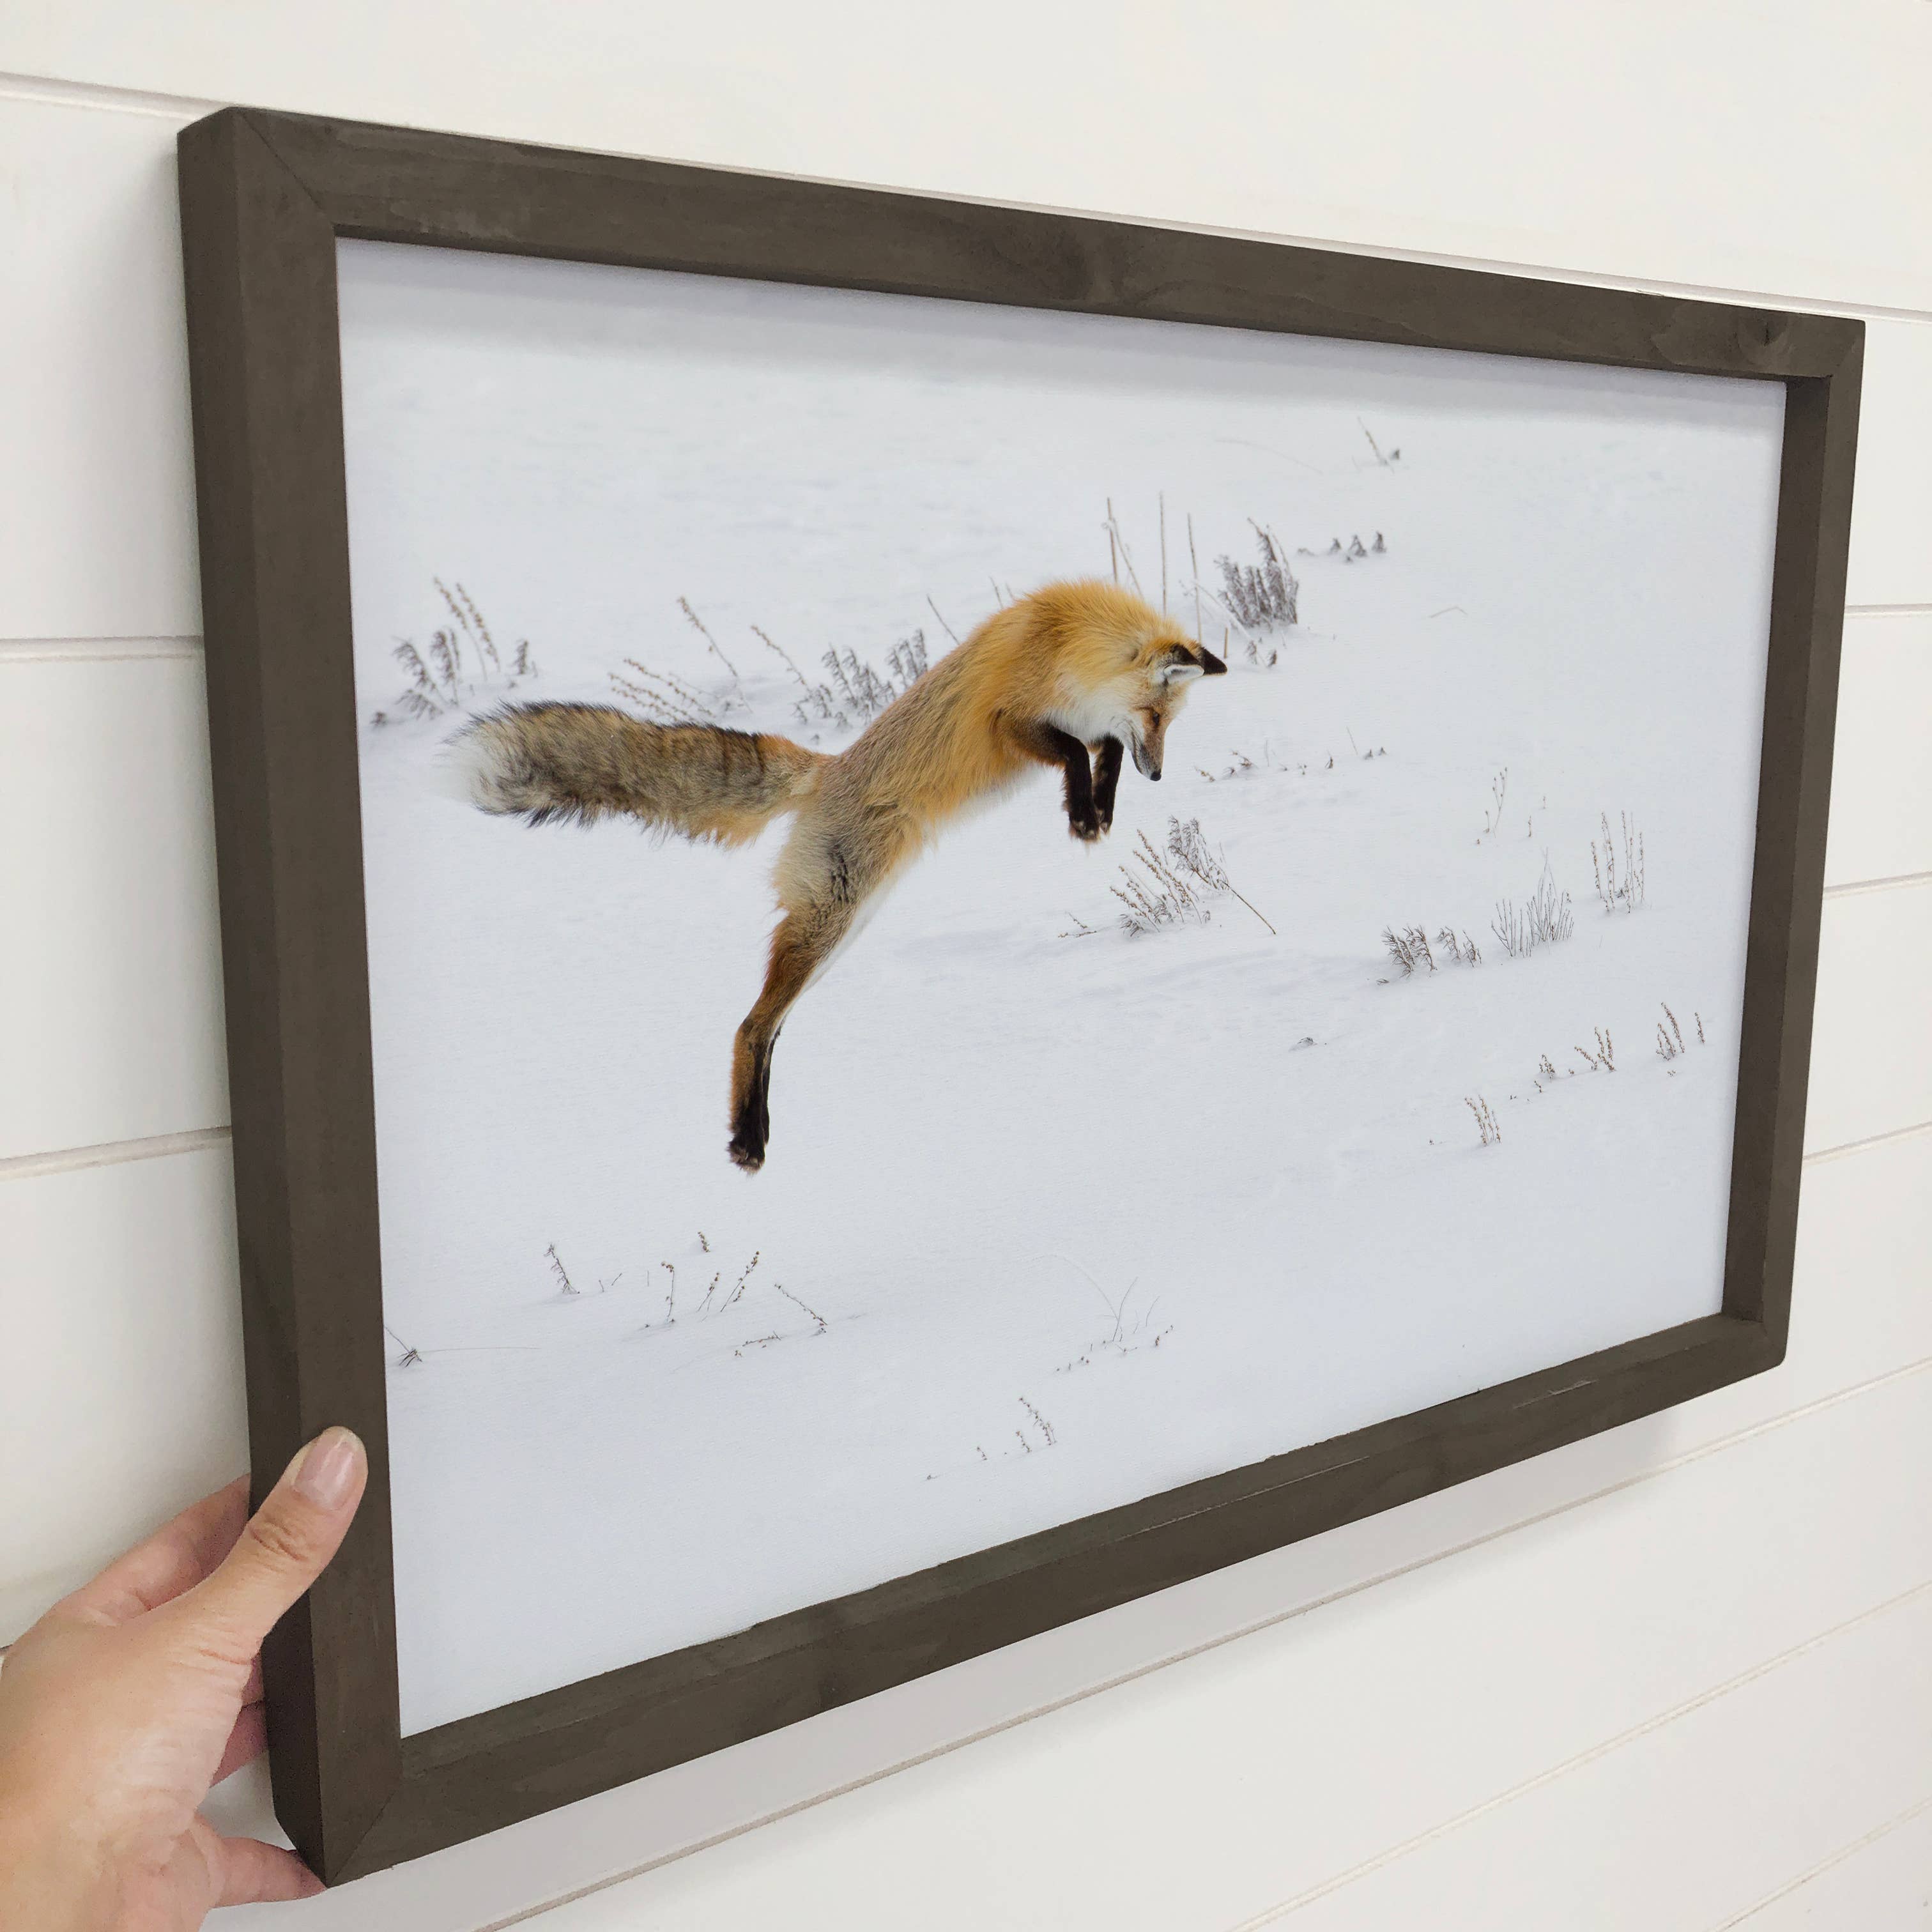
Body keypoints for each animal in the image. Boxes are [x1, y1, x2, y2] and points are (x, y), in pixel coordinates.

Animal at [450, 578, 1226, 1170]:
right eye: (1158, 714)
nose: (1162, 775)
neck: (1067, 639)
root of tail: (824, 771)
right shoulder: (1009, 720)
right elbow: (1069, 748)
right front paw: (1085, 814)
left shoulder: (1090, 725)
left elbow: (1101, 753)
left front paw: (1099, 810)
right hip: (831, 918)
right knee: (750, 1026)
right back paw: (747, 1139)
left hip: (842, 930)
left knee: (770, 1027)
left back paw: (755, 1133)